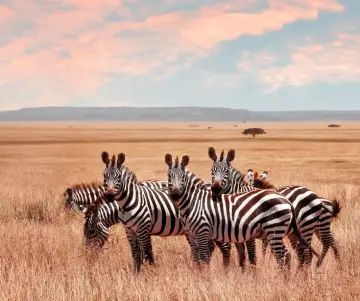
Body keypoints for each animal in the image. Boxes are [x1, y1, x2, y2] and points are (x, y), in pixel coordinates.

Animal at [84, 151, 235, 270]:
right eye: (104, 175)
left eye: (91, 231)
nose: (87, 258)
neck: (127, 204)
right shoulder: (133, 230)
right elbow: (139, 253)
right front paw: (139, 273)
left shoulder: (143, 227)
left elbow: (145, 252)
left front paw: (149, 272)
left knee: (224, 248)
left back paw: (225, 271)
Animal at [165, 152, 320, 272]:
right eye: (169, 176)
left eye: (183, 177)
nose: (175, 195)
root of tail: (287, 201)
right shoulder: (198, 233)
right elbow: (200, 258)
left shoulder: (206, 232)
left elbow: (206, 258)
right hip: (285, 232)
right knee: (293, 254)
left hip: (285, 229)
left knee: (294, 254)